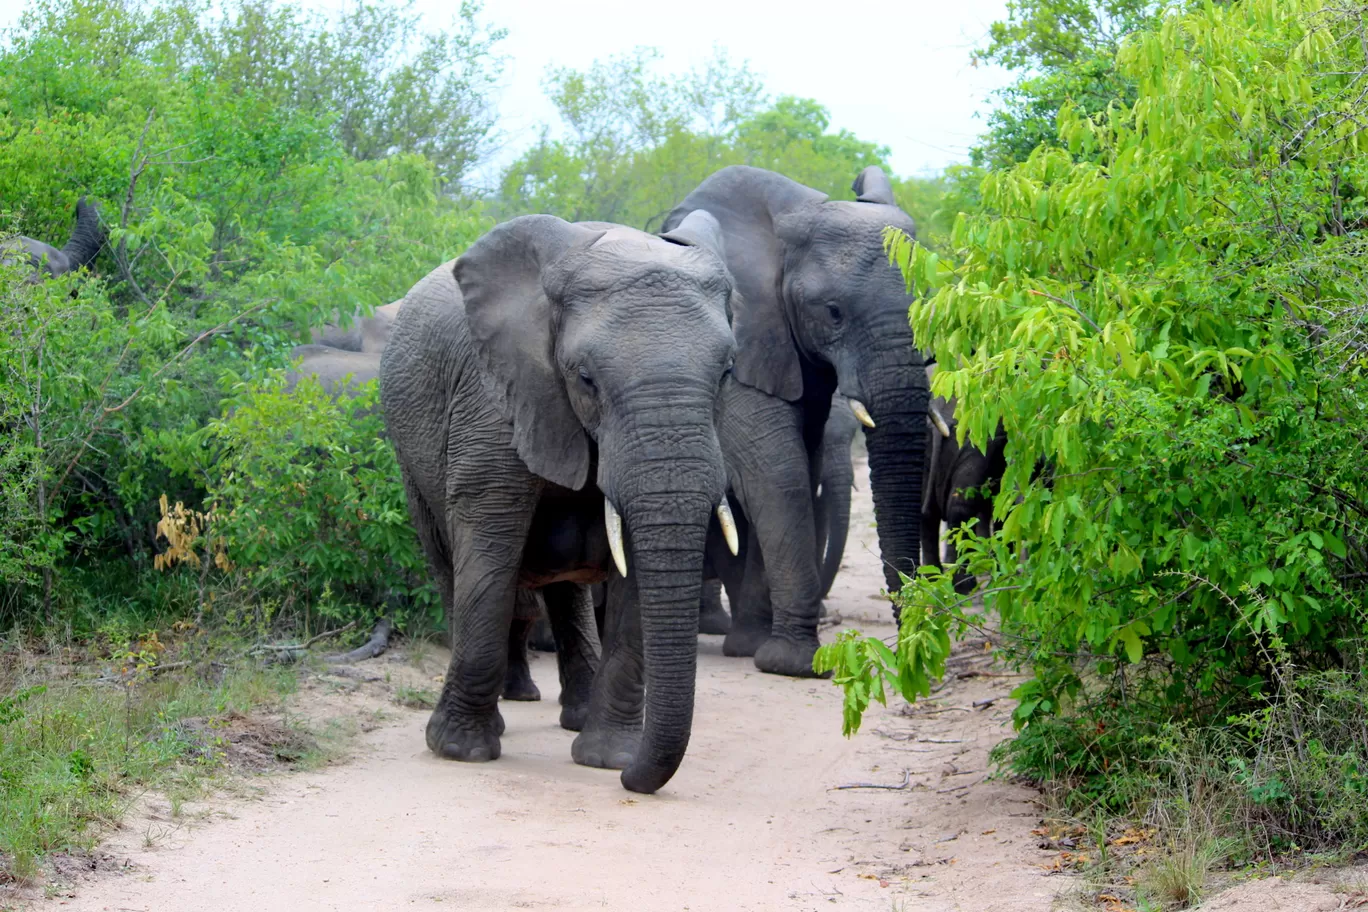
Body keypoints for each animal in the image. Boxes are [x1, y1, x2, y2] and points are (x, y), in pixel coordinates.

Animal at [380, 210, 744, 793]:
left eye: (728, 373)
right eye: (585, 378)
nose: (633, 783)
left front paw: (609, 759)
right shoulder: (493, 399)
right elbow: (488, 552)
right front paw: (459, 751)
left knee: (566, 590)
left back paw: (576, 715)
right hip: (408, 456)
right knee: (449, 565)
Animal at [662, 166, 930, 678]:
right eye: (833, 312)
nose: (910, 656)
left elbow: (799, 473)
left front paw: (759, 650)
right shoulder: (743, 340)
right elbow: (778, 475)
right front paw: (794, 664)